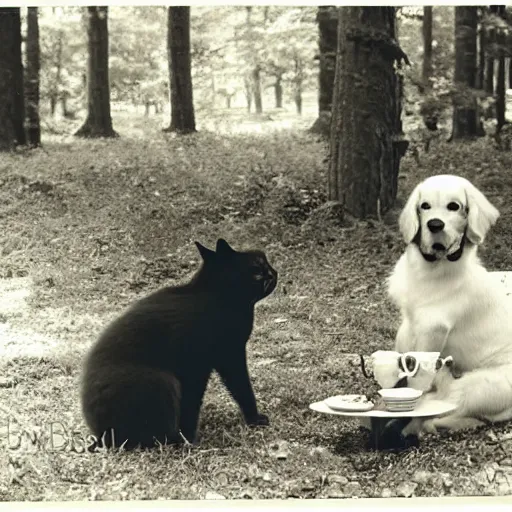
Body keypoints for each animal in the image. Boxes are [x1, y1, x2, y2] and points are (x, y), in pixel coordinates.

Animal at [80, 238, 278, 450]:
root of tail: (100, 435)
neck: (215, 298)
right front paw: (189, 439)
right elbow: (233, 392)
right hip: (163, 380)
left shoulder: (223, 359)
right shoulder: (209, 364)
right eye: (258, 269)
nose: (274, 272)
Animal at [388, 174, 512, 434]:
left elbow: (418, 380)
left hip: (479, 384)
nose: (435, 225)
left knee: (453, 405)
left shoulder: (433, 329)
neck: (432, 269)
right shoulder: (409, 326)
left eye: (454, 206)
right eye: (424, 206)